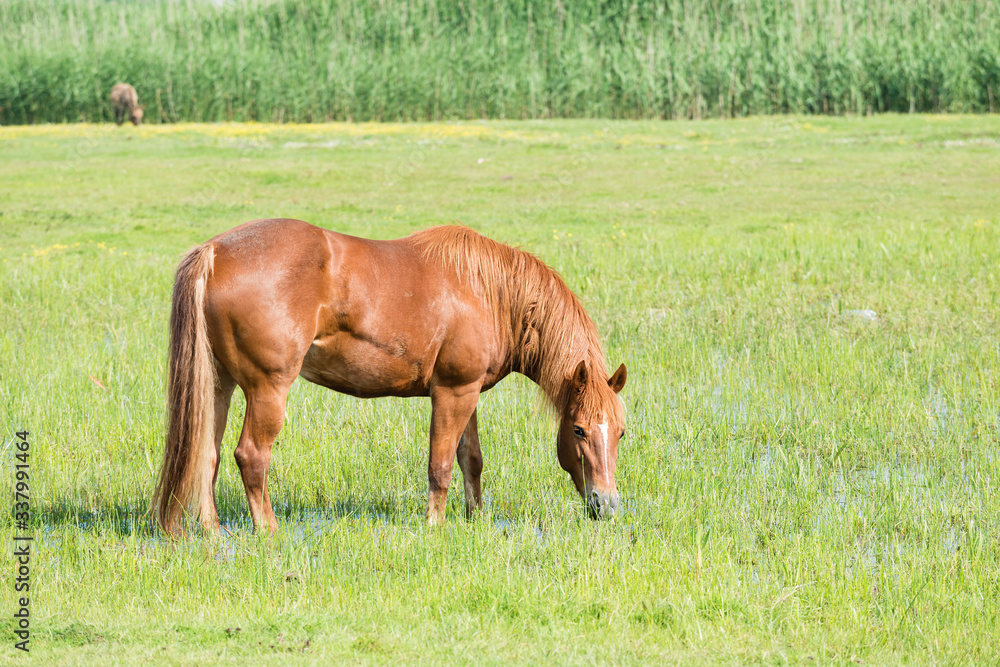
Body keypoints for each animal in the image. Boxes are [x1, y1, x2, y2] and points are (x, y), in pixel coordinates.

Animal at [152, 220, 628, 536]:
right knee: (251, 456)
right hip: (268, 389)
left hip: (219, 385)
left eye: (621, 433)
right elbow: (440, 465)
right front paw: (434, 529)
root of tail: (216, 252)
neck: (489, 293)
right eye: (579, 429)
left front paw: (476, 519)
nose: (606, 505)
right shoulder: (452, 392)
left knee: (206, 455)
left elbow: (470, 459)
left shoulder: (469, 392)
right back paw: (269, 533)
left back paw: (212, 534)